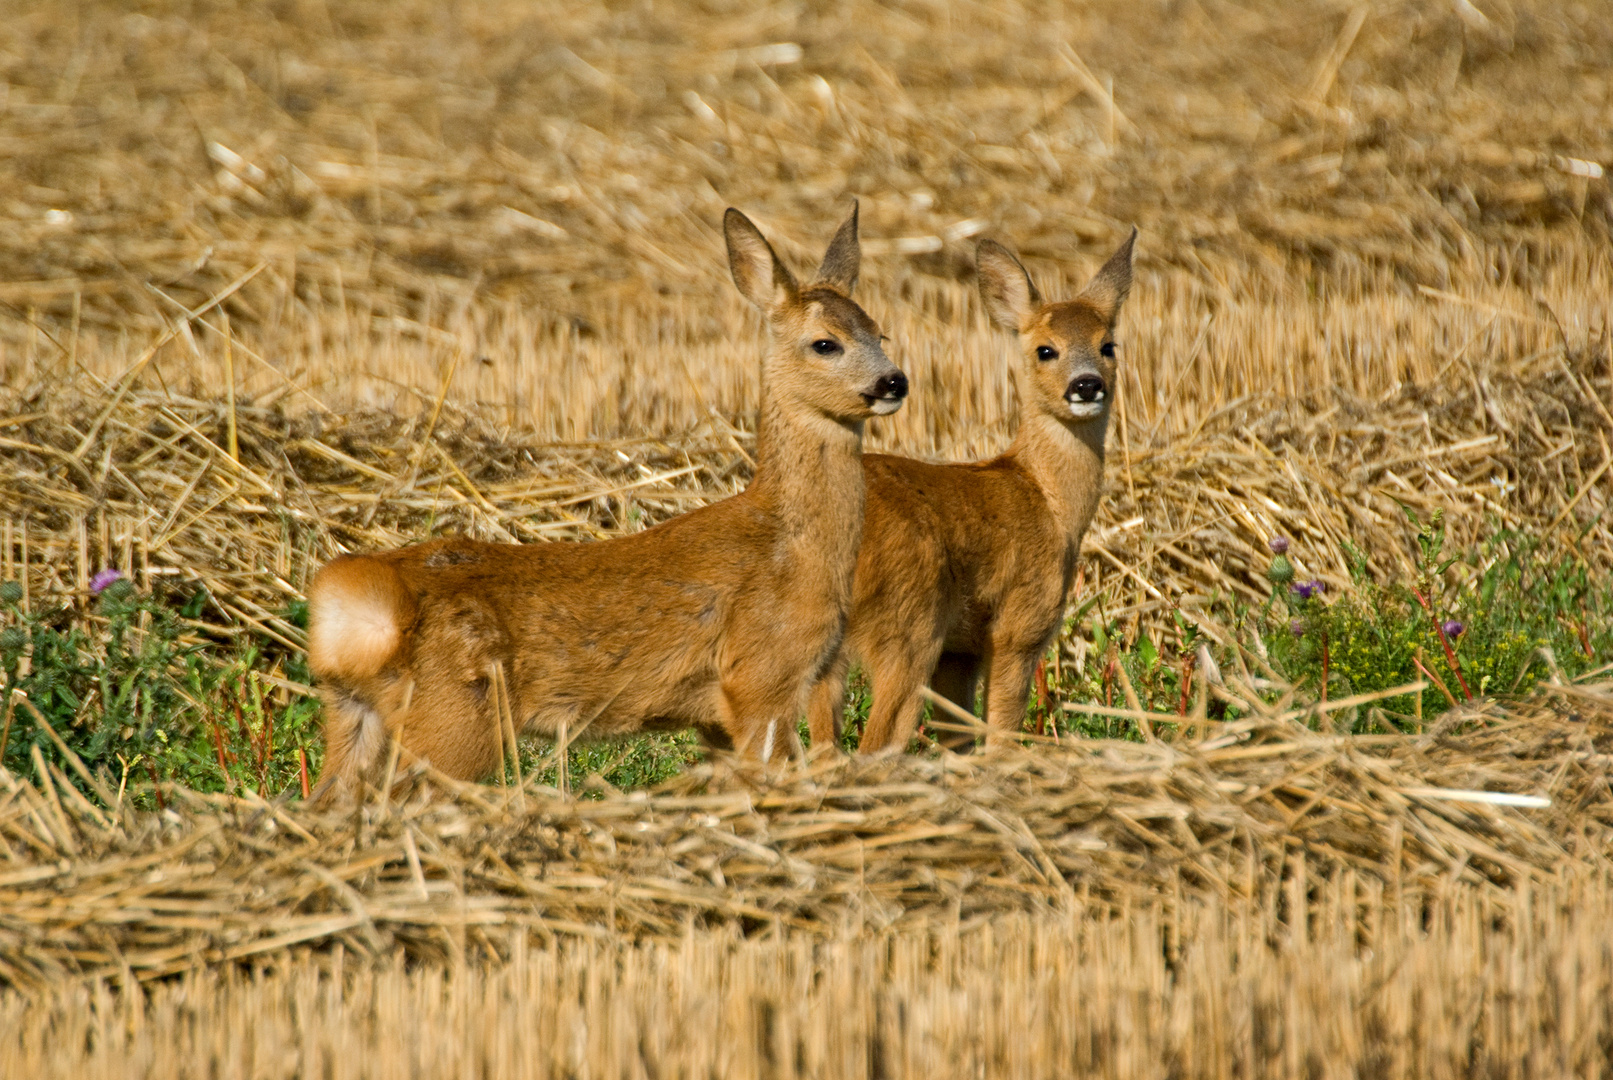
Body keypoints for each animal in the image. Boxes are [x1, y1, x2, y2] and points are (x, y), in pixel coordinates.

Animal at [304, 207, 909, 799]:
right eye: (826, 343)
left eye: (880, 332)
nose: (895, 381)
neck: (791, 541)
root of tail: (351, 605)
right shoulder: (763, 674)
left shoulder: (715, 714)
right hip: (454, 717)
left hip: (354, 714)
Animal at [803, 228, 1135, 754]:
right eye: (1045, 349)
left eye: (1108, 345)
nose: (1087, 385)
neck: (1048, 499)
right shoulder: (1020, 624)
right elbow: (1001, 731)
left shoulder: (959, 651)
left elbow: (958, 736)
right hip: (910, 623)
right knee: (875, 741)